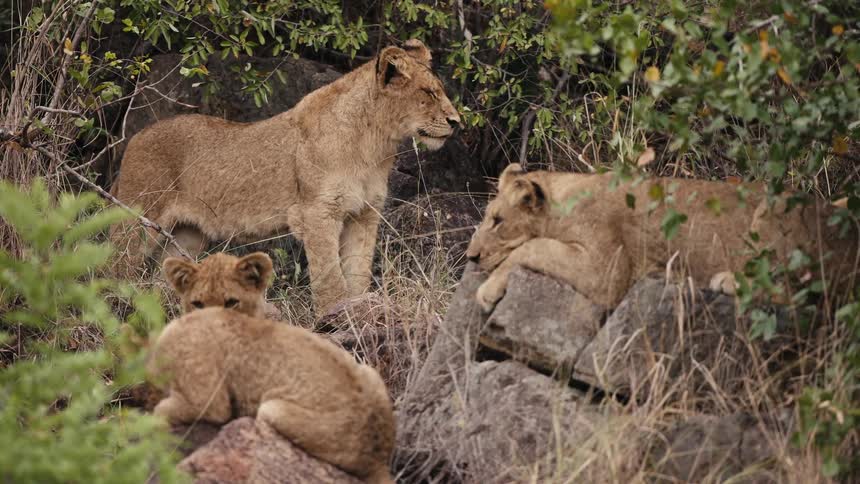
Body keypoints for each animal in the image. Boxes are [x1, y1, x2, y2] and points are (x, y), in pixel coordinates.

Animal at [110, 39, 461, 316]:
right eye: (428, 93)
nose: (457, 121)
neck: (374, 144)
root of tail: (134, 139)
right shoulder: (317, 212)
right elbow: (330, 278)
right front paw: (334, 319)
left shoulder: (365, 213)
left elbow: (358, 271)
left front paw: (359, 310)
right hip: (136, 221)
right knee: (109, 268)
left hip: (188, 235)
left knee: (162, 282)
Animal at [466, 163, 858, 312]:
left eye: (497, 221)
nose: (470, 257)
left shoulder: (606, 271)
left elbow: (533, 247)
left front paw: (487, 291)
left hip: (776, 208)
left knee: (802, 292)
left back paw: (725, 280)